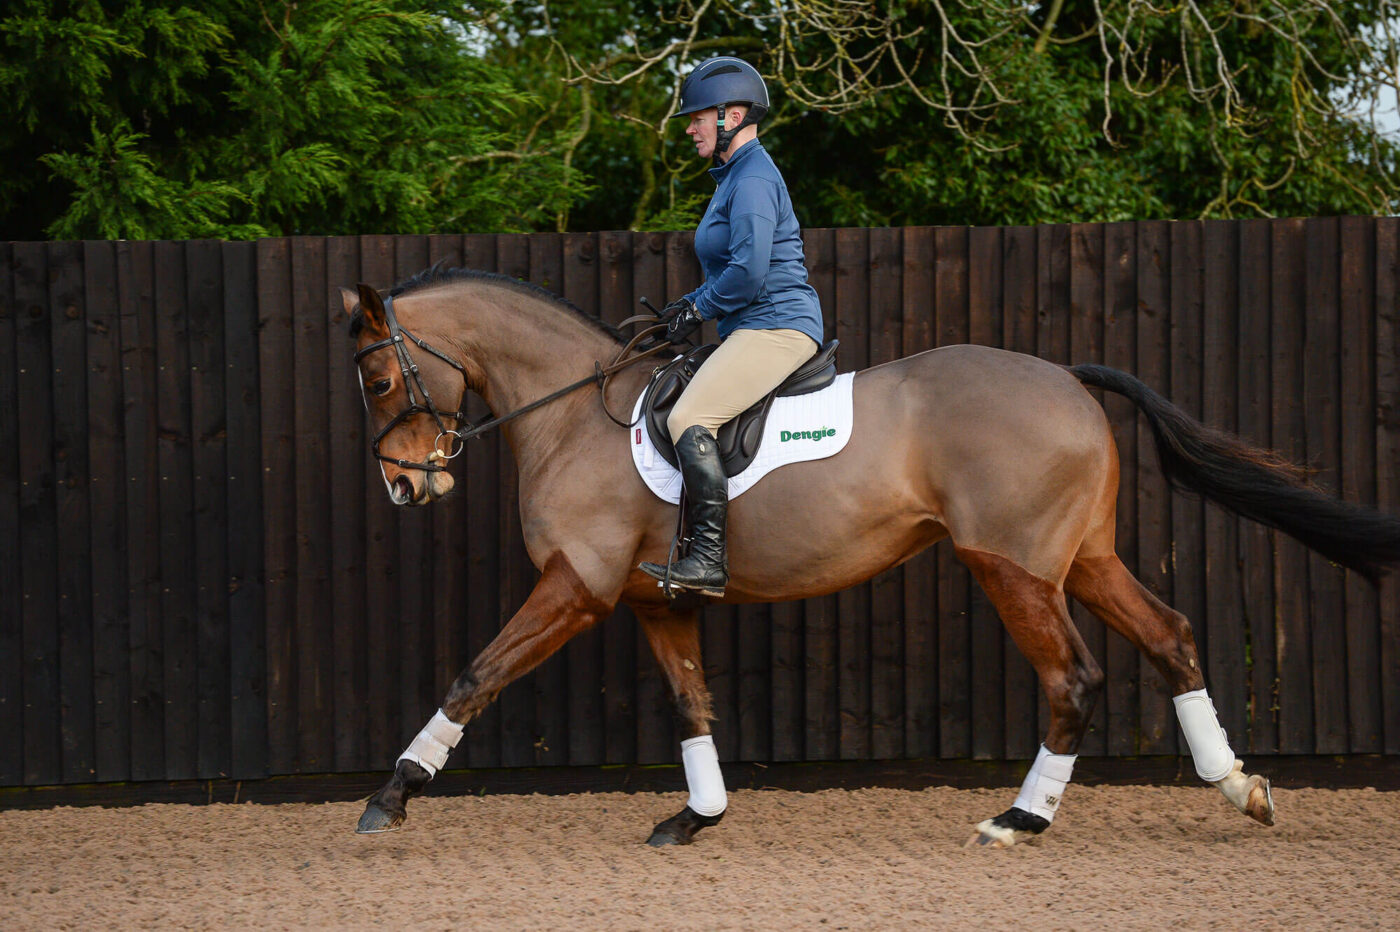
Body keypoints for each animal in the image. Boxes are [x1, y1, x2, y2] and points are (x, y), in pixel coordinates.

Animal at [341, 264, 1400, 845]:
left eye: (381, 376)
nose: (402, 487)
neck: (569, 412)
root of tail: (1065, 376)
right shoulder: (653, 601)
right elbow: (692, 707)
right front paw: (697, 817)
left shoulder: (578, 588)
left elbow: (476, 675)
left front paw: (391, 796)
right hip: (1081, 561)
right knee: (1171, 636)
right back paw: (1239, 786)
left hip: (1011, 567)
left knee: (1074, 677)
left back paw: (1022, 820)